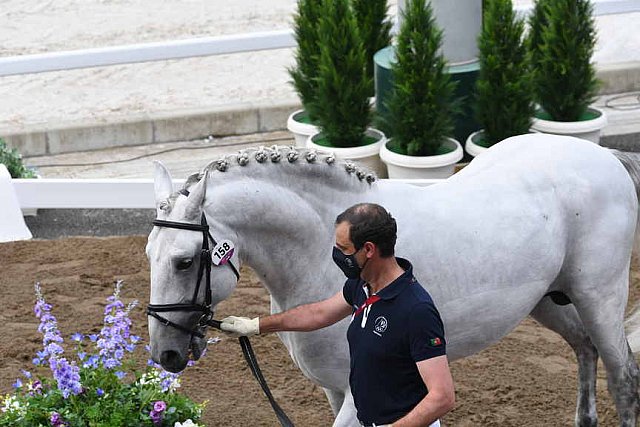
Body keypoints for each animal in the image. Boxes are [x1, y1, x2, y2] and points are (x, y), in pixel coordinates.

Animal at [145, 135, 640, 427]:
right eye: (149, 254)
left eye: (184, 262)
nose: (165, 354)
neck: (316, 253)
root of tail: (604, 156)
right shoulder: (335, 389)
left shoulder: (355, 394)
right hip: (548, 299)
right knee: (585, 348)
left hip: (599, 295)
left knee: (623, 376)